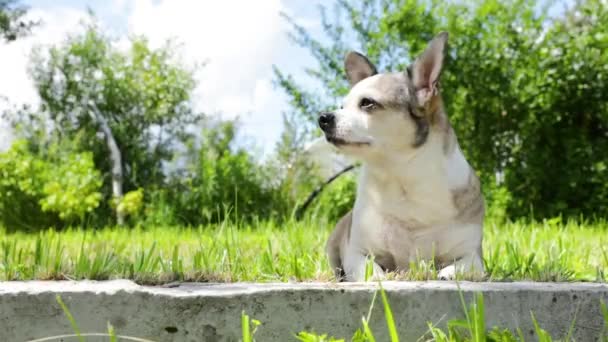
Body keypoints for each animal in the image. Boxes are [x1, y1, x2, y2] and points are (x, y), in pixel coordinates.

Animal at [318, 33, 484, 282]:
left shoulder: (474, 256)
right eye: (342, 106)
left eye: (367, 103)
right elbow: (370, 268)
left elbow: (462, 266)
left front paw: (446, 273)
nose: (323, 118)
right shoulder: (356, 252)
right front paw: (379, 277)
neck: (400, 176)